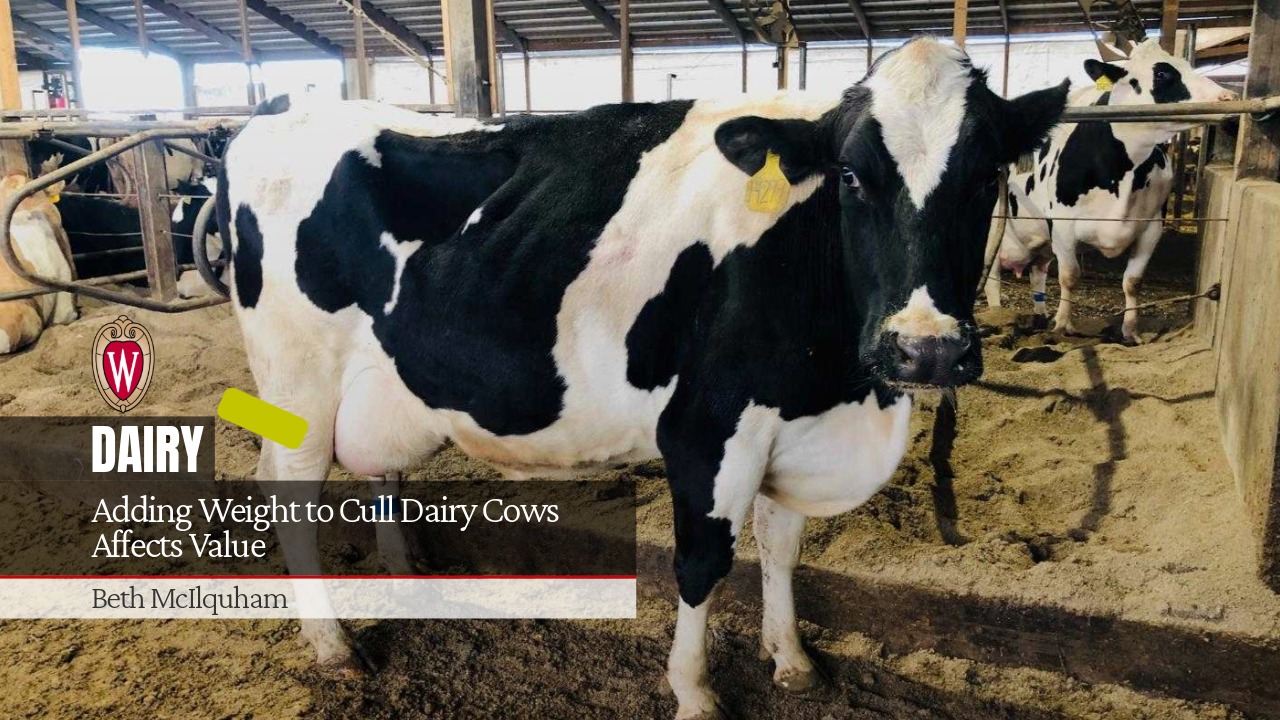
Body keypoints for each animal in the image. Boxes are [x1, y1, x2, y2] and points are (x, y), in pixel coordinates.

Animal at [217, 37, 1068, 719]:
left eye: (987, 175)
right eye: (853, 176)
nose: (926, 350)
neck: (844, 392)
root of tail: (282, 107)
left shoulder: (787, 418)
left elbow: (783, 543)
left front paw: (791, 659)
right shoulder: (708, 425)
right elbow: (704, 561)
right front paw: (695, 692)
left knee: (380, 470)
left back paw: (409, 572)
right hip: (297, 386)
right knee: (289, 496)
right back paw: (334, 647)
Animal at [985, 39, 1235, 342]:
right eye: (1162, 73)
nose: (1229, 96)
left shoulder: (1151, 227)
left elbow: (1133, 281)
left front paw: (1130, 331)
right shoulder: (1063, 227)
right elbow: (1069, 275)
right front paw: (1063, 326)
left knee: (1038, 272)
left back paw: (1039, 319)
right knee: (992, 279)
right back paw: (998, 317)